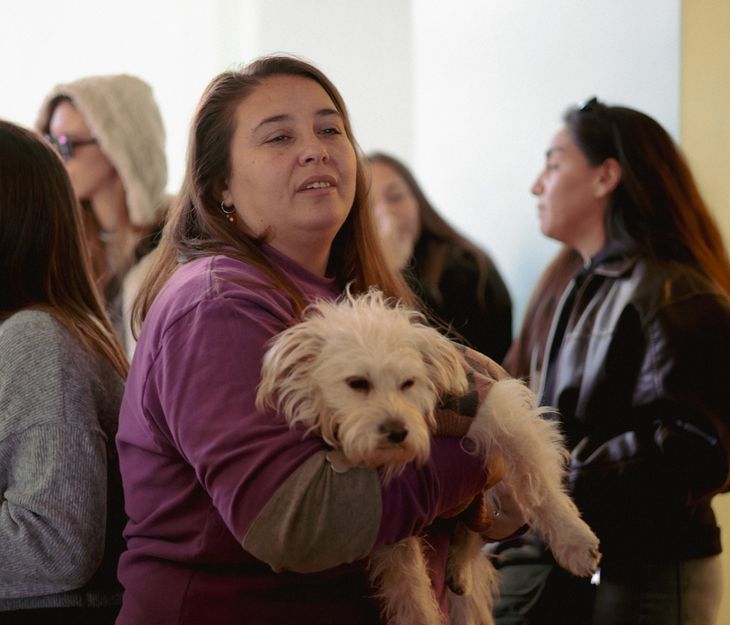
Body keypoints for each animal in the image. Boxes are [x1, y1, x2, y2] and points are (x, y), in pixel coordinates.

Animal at [256, 289, 600, 625]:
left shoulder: (497, 410)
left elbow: (536, 482)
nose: (397, 432)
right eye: (357, 383)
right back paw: (459, 566)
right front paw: (419, 613)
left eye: (409, 383)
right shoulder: (393, 516)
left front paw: (573, 540)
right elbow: (409, 583)